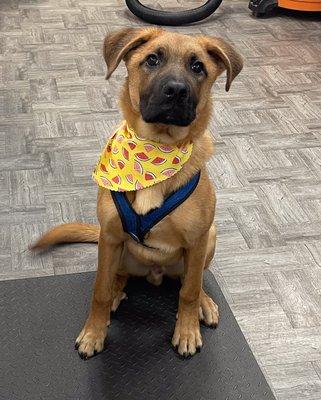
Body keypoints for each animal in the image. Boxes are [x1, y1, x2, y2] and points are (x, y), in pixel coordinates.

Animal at [31, 28, 242, 360]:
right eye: (152, 59)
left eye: (198, 67)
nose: (177, 91)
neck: (155, 152)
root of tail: (155, 272)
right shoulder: (110, 235)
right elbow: (100, 290)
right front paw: (93, 333)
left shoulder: (196, 241)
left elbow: (189, 291)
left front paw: (187, 331)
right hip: (116, 250)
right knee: (117, 277)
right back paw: (118, 291)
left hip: (210, 238)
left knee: (192, 280)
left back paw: (205, 304)